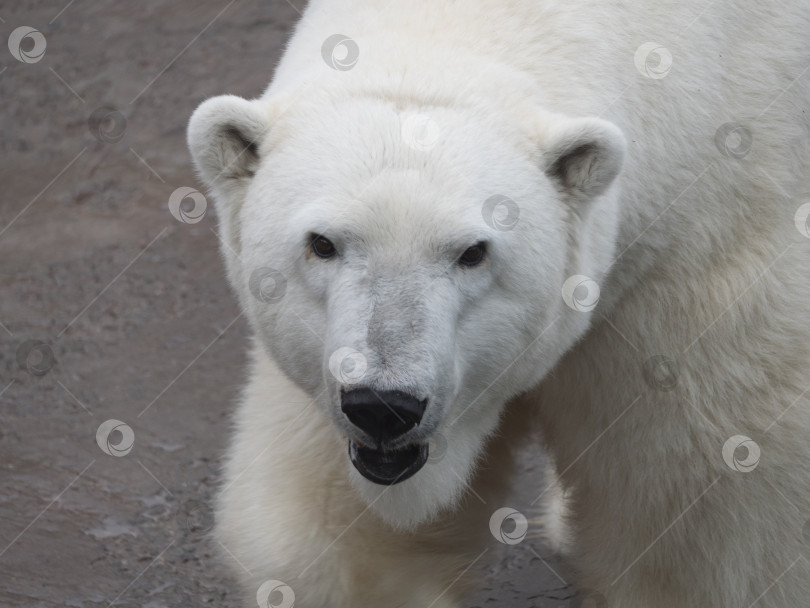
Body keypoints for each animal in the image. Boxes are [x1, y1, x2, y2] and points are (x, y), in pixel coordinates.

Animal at [186, 2, 808, 604]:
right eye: (322, 243)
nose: (383, 405)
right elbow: (335, 539)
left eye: (472, 252)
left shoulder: (694, 260)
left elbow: (704, 530)